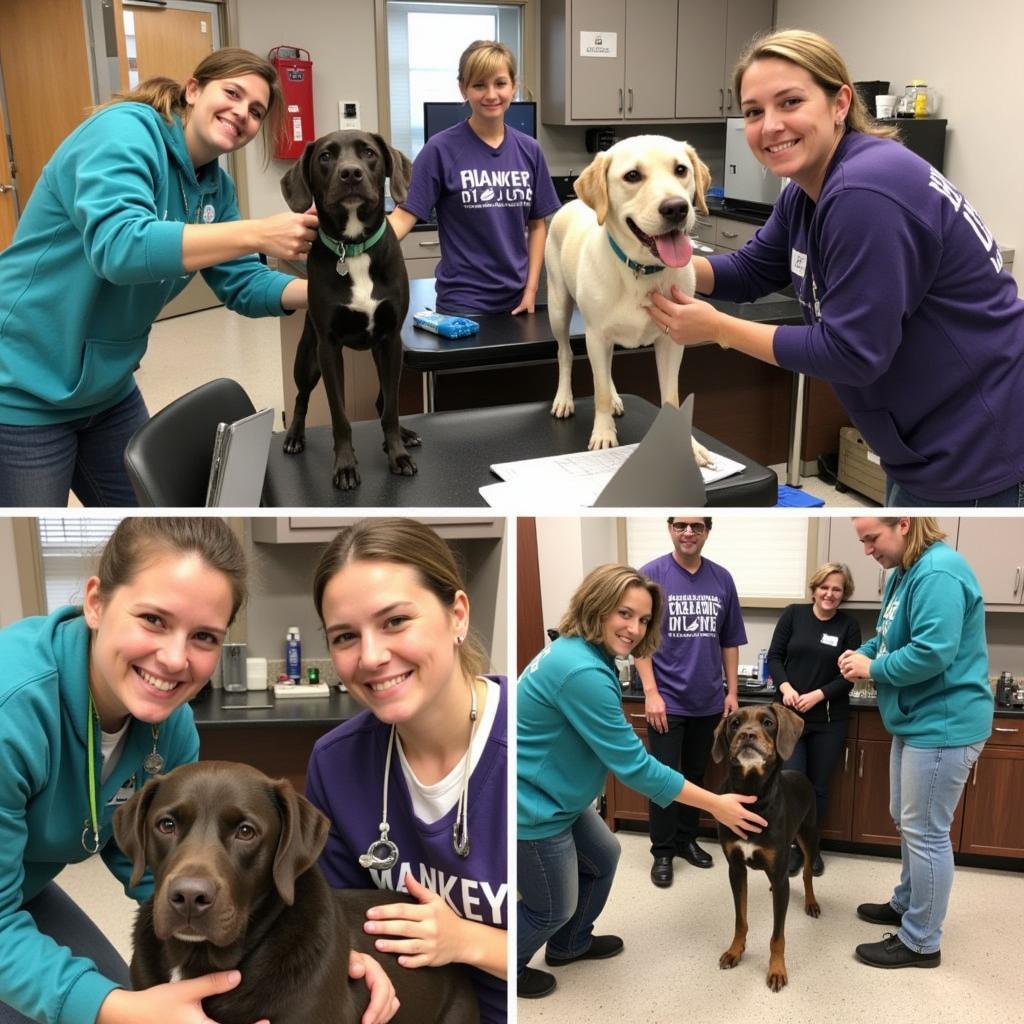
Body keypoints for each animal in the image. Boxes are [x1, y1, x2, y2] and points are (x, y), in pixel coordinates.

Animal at [280, 129, 415, 491]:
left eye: (368, 153)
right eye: (326, 156)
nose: (351, 173)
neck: (353, 249)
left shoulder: (391, 341)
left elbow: (392, 409)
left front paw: (397, 453)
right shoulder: (329, 349)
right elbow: (339, 416)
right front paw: (345, 466)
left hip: (382, 356)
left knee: (384, 400)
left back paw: (403, 435)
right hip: (307, 360)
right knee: (300, 397)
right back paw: (294, 435)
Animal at [712, 704, 823, 991]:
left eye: (768, 722)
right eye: (734, 723)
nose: (747, 735)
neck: (752, 799)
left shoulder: (780, 871)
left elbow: (777, 936)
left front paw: (776, 970)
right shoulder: (736, 868)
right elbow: (740, 919)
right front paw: (735, 951)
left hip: (808, 836)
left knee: (806, 873)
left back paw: (811, 903)